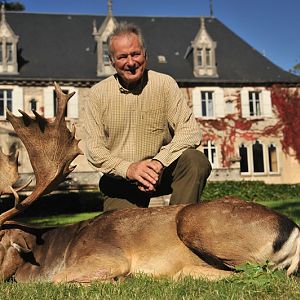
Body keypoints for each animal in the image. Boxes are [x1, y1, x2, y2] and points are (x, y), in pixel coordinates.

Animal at [0, 83, 298, 282]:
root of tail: (293, 230)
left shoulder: (107, 256)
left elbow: (58, 279)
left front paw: (117, 281)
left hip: (194, 221)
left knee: (255, 272)